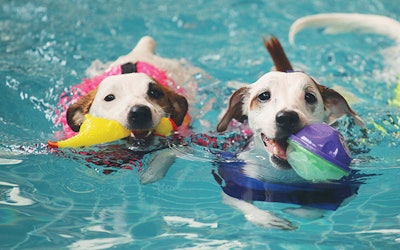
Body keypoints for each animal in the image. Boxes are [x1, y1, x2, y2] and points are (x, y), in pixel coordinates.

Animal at [216, 36, 366, 229]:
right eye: (263, 95)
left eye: (310, 97)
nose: (287, 117)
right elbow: (245, 205)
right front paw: (270, 219)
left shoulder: (338, 186)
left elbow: (316, 208)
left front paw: (296, 212)